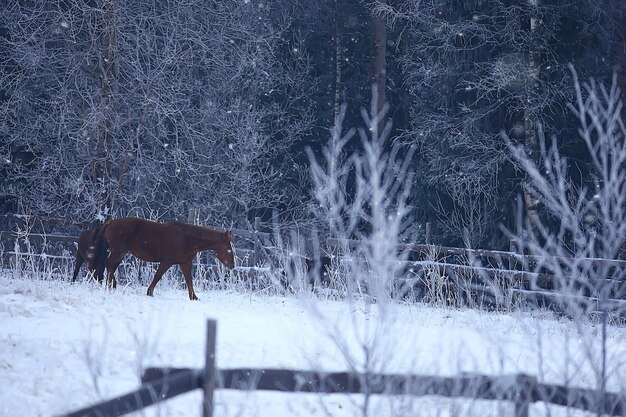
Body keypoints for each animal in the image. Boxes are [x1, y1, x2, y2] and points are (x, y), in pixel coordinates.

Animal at [94, 218, 235, 300]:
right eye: (228, 249)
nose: (232, 265)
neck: (187, 239)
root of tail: (111, 222)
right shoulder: (167, 262)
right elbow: (158, 276)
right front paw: (149, 292)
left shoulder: (185, 263)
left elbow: (189, 280)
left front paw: (194, 297)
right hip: (118, 252)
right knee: (109, 265)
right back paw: (110, 286)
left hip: (120, 253)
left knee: (111, 267)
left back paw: (111, 285)